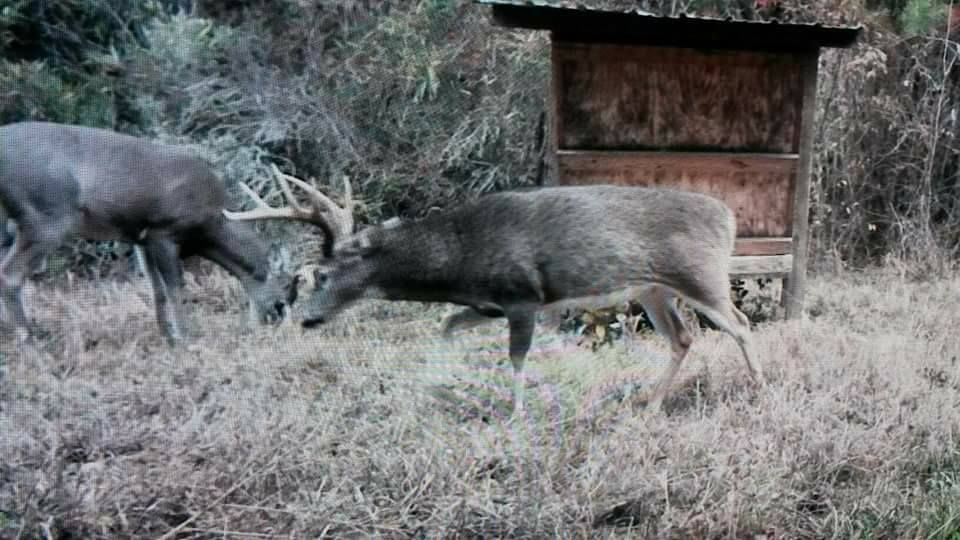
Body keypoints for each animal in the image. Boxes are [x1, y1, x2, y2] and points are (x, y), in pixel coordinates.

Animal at [0, 120, 344, 344]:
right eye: (287, 288)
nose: (274, 319)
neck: (212, 220)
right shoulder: (164, 230)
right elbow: (175, 287)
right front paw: (187, 339)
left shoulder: (139, 237)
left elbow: (156, 290)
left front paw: (167, 337)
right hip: (47, 215)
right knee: (10, 275)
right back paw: (31, 345)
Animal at [227, 173, 764, 414]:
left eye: (317, 275)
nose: (305, 319)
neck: (459, 257)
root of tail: (728, 216)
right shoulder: (487, 304)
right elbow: (446, 326)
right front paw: (435, 387)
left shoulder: (523, 295)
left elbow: (518, 357)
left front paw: (516, 413)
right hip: (655, 289)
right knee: (684, 337)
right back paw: (651, 403)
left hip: (700, 274)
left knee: (740, 325)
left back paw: (760, 389)